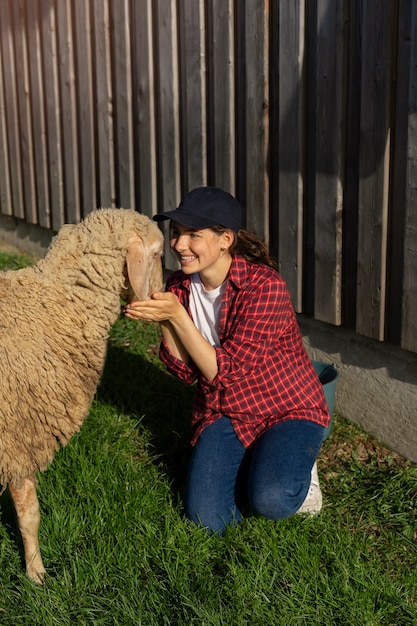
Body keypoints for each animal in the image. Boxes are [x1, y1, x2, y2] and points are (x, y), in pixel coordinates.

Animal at [0, 207, 163, 584]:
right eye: (158, 253)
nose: (161, 294)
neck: (55, 304)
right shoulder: (20, 437)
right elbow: (29, 514)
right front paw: (36, 573)